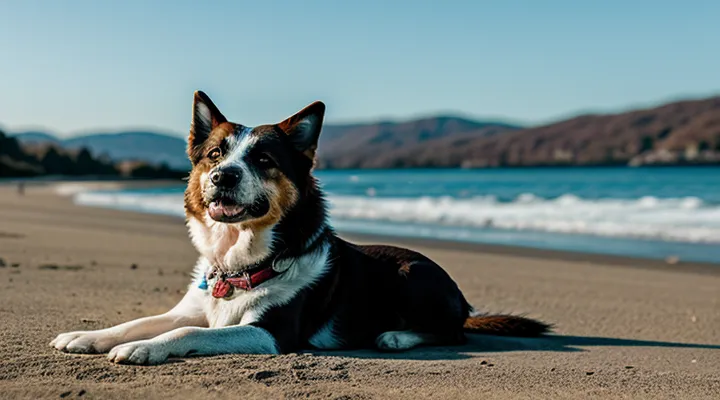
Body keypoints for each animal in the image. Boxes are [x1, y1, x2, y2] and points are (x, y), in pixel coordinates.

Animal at [47, 91, 548, 366]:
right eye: (214, 154)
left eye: (264, 159)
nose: (223, 177)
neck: (240, 261)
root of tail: (462, 298)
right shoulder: (192, 308)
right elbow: (141, 322)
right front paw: (87, 337)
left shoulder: (273, 333)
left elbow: (186, 335)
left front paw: (144, 349)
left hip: (413, 277)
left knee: (453, 332)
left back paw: (397, 335)